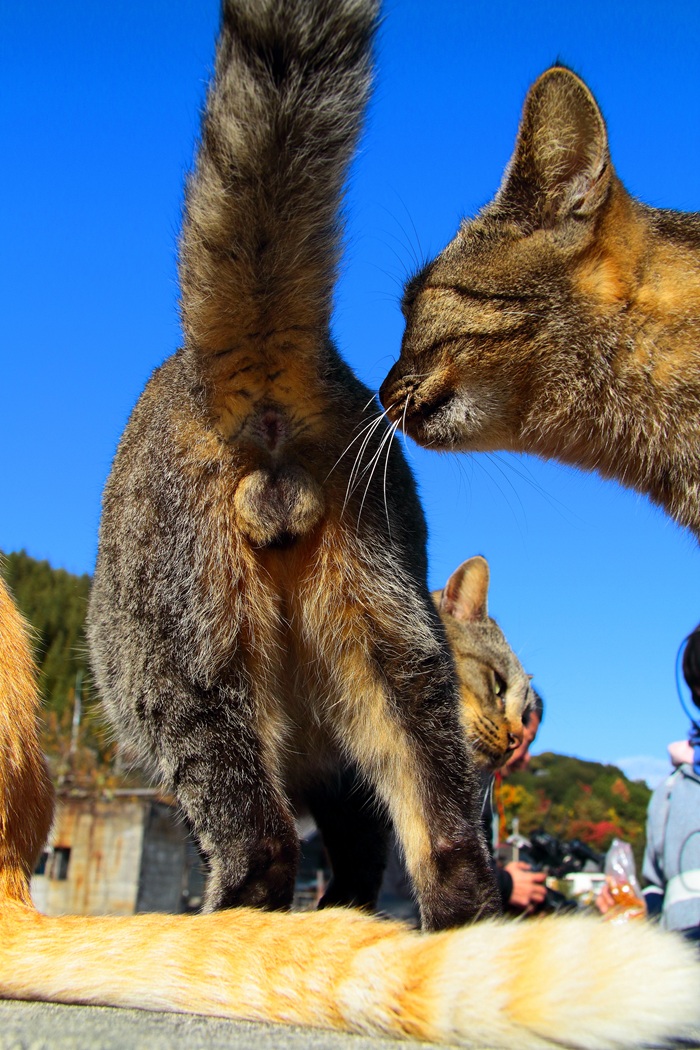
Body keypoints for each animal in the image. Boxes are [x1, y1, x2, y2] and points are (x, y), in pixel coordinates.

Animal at [86, 0, 497, 928]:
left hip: (172, 636)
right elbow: (366, 831)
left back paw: (234, 905)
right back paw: (448, 900)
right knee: (441, 812)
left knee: (260, 833)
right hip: (391, 608)